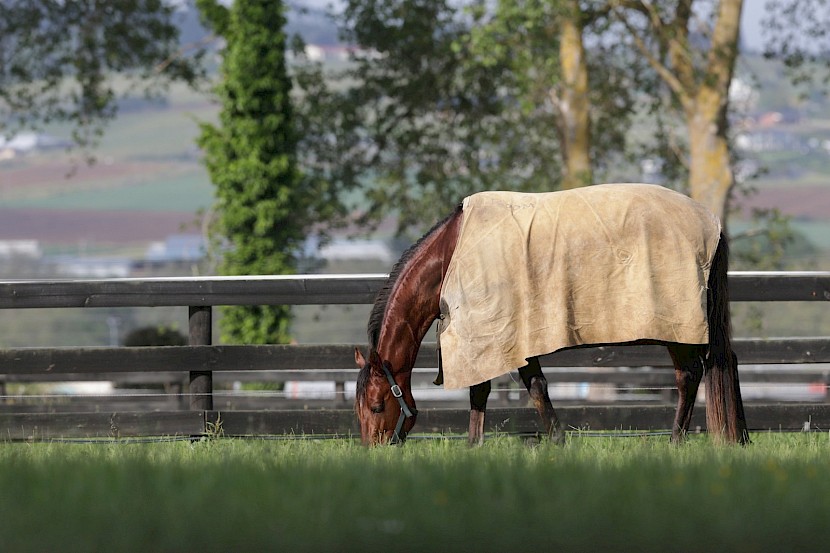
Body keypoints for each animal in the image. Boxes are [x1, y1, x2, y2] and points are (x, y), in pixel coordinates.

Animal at [358, 183, 752, 446]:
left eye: (377, 406)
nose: (374, 450)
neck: (450, 256)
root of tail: (711, 224)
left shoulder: (492, 334)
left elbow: (506, 389)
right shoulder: (508, 338)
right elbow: (515, 388)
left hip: (677, 326)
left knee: (689, 375)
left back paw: (675, 441)